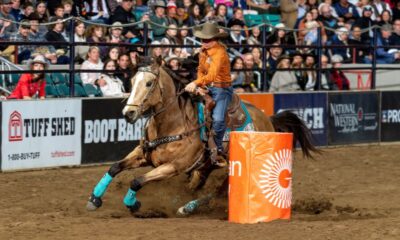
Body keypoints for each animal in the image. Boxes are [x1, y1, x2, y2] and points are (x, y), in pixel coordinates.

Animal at [85, 57, 318, 214]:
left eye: (149, 83)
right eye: (132, 81)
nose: (128, 113)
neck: (172, 124)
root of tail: (267, 119)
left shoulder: (172, 167)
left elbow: (137, 180)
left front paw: (133, 204)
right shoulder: (143, 154)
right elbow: (114, 167)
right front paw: (94, 199)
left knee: (220, 192)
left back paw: (187, 207)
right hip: (206, 166)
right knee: (199, 185)